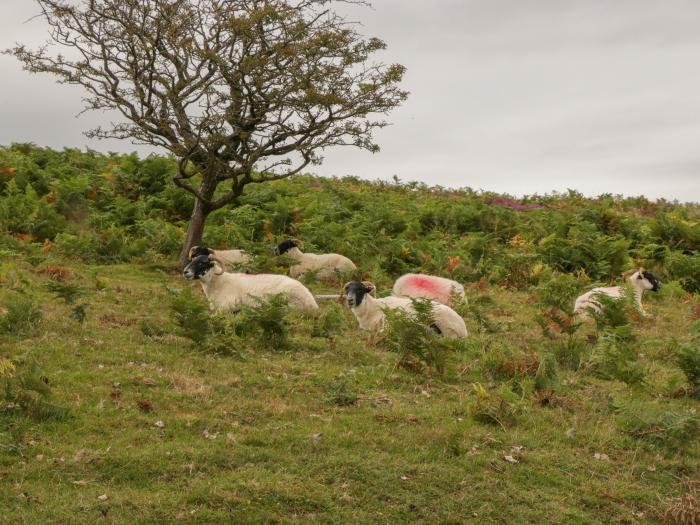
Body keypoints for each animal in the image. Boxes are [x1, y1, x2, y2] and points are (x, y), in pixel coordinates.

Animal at [183, 254, 320, 312]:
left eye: (202, 263)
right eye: (192, 260)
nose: (185, 272)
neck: (219, 283)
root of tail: (312, 303)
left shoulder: (228, 306)